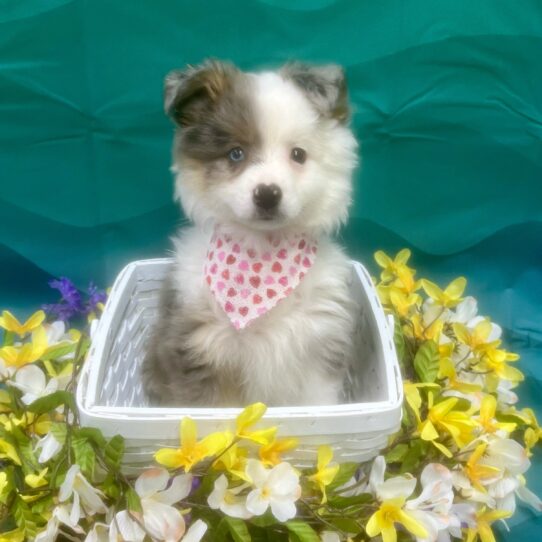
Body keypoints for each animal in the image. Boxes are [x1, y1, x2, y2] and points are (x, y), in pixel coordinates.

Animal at [142, 60, 360, 408]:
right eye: (236, 154)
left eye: (298, 154)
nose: (268, 194)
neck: (261, 259)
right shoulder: (198, 348)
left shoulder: (319, 344)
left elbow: (319, 404)